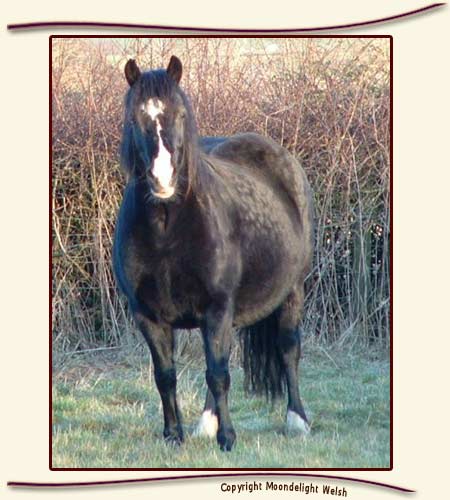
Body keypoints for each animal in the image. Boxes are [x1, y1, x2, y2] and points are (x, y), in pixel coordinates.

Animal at [113, 55, 314, 451]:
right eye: (133, 117)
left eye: (179, 114)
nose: (162, 180)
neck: (166, 230)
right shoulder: (149, 315)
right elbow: (166, 376)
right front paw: (173, 435)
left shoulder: (217, 306)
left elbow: (219, 374)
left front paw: (228, 438)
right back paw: (205, 423)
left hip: (292, 291)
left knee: (288, 349)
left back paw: (297, 421)